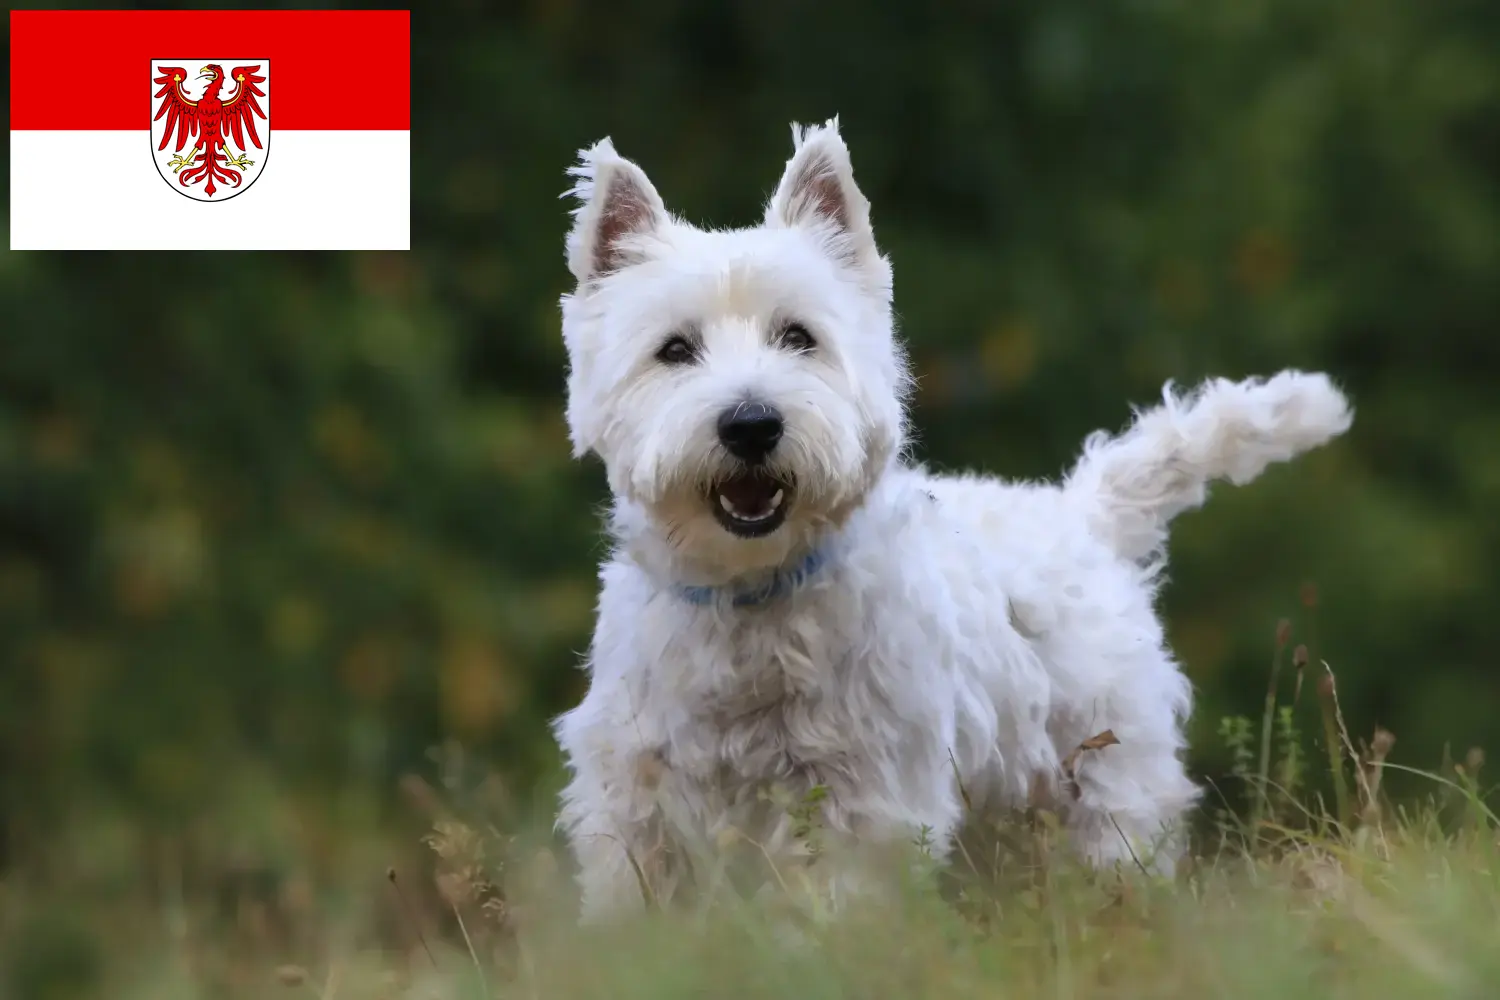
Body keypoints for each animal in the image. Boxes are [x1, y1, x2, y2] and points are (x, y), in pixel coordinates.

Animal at [552, 117, 1362, 923]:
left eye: (799, 336)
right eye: (674, 349)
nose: (751, 424)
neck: (749, 598)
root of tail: (1083, 514)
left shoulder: (865, 794)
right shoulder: (632, 793)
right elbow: (636, 899)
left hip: (1104, 778)